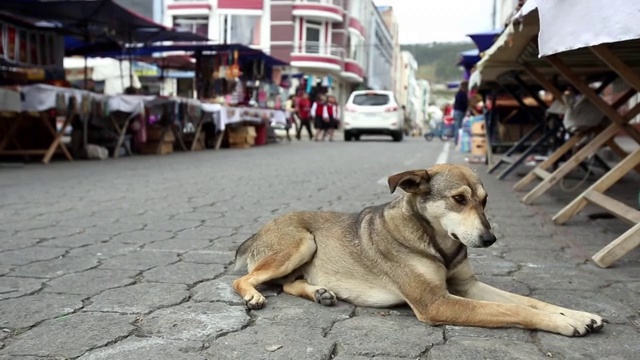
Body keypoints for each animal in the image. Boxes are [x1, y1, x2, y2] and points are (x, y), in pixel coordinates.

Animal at [234, 164, 604, 338]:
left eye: (485, 201)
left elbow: (529, 301)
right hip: (302, 243)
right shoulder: (436, 302)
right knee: (244, 280)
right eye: (459, 199)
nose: (489, 239)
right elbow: (515, 310)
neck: (438, 243)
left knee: (288, 284)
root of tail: (257, 231)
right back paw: (253, 295)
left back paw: (320, 292)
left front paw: (579, 314)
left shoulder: (466, 285)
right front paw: (563, 324)